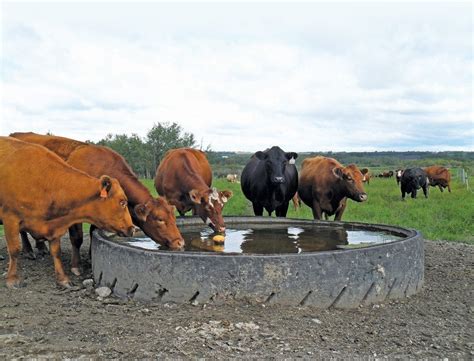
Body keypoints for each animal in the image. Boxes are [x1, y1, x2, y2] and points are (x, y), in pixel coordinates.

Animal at [0, 136, 134, 288]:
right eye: (122, 202)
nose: (132, 228)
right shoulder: (10, 218)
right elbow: (14, 250)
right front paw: (12, 279)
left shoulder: (53, 226)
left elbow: (56, 251)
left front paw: (63, 279)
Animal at [10, 131, 185, 272]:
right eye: (160, 219)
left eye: (173, 217)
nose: (180, 243)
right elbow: (77, 238)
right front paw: (76, 266)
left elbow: (93, 232)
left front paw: (91, 255)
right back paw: (29, 250)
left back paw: (41, 247)